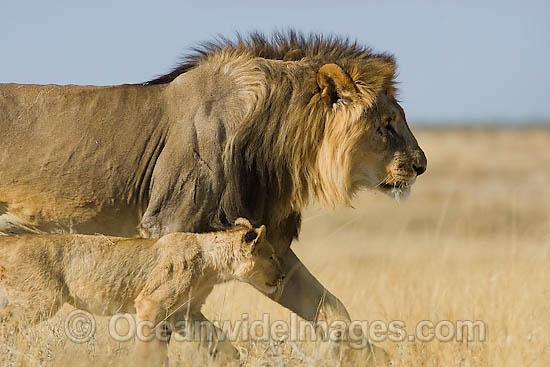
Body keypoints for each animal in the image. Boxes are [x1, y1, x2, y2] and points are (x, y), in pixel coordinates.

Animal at [0, 32, 426, 366]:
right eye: (387, 125)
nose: (421, 166)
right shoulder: (169, 227)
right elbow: (193, 329)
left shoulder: (264, 243)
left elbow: (330, 307)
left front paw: (373, 356)